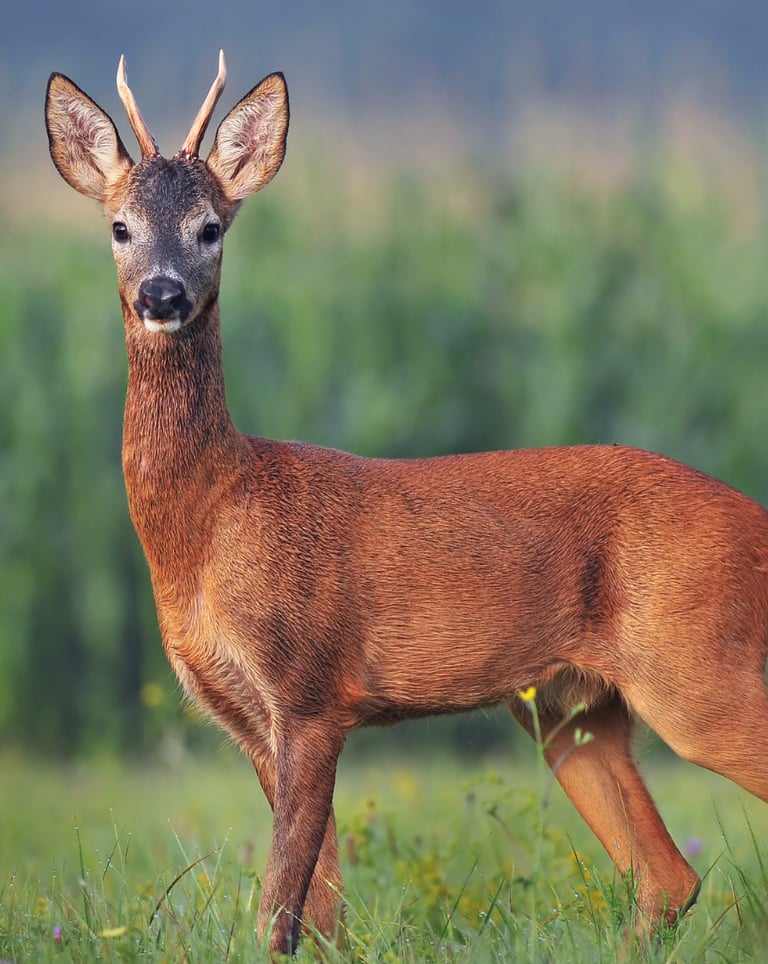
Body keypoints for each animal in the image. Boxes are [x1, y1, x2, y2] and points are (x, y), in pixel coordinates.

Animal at [44, 51, 768, 957]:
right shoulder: (247, 714)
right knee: (667, 878)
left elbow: (278, 906)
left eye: (212, 227)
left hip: (695, 670)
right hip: (573, 710)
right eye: (119, 228)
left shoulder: (311, 687)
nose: (163, 295)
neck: (212, 521)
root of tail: (757, 520)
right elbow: (319, 912)